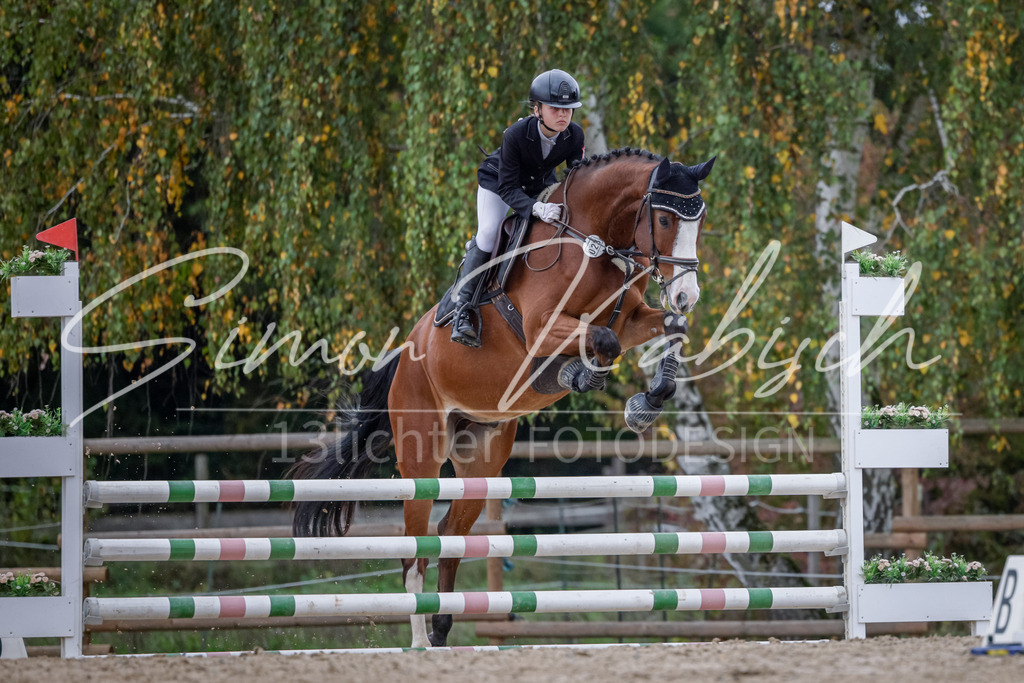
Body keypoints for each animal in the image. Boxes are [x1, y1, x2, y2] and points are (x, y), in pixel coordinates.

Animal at [291, 148, 715, 647]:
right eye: (665, 219)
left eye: (699, 220)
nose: (687, 294)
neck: (594, 242)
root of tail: (406, 357)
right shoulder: (541, 326)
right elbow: (603, 341)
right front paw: (576, 375)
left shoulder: (630, 319)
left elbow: (666, 328)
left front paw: (647, 402)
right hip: (421, 458)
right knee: (414, 552)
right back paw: (419, 641)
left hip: (481, 459)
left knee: (449, 535)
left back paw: (441, 630)